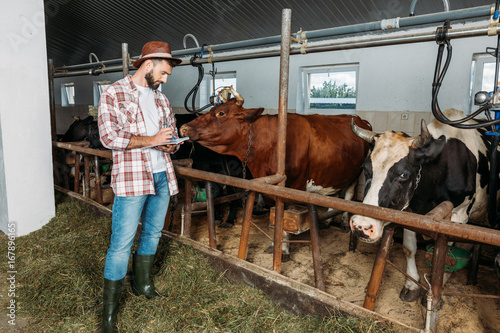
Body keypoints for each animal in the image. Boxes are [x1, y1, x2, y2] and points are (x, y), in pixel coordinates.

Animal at [180, 87, 372, 253]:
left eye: (221, 113)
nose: (184, 128)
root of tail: (360, 119)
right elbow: (275, 216)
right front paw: (275, 243)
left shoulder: (292, 187)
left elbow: (283, 217)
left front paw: (283, 248)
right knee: (335, 195)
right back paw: (328, 220)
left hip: (356, 174)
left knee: (348, 195)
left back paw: (345, 223)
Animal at [350, 108, 494, 300]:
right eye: (365, 169)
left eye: (404, 174)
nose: (361, 226)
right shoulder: (410, 210)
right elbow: (409, 248)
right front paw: (411, 286)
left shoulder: (459, 215)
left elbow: (448, 256)